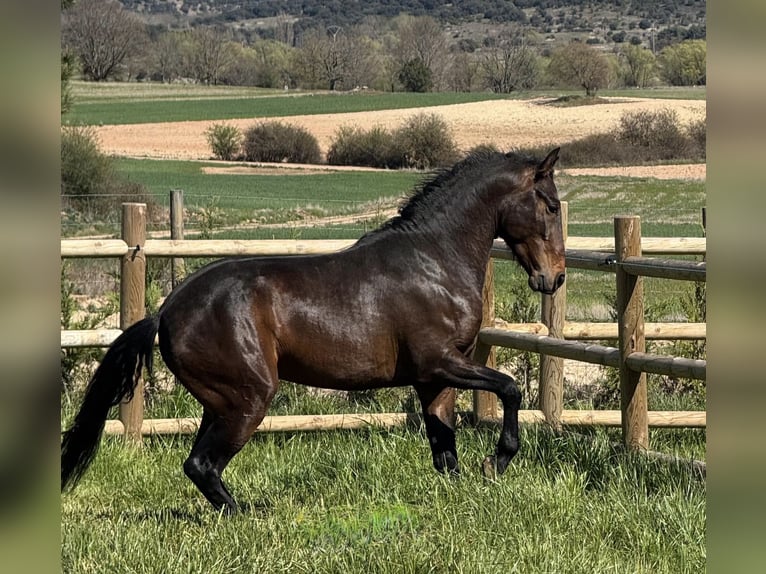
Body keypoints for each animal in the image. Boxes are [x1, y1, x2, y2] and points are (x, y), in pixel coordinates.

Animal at [61, 147, 566, 514]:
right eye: (551, 205)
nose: (555, 278)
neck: (435, 260)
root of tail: (164, 313)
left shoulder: (434, 379)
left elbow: (444, 448)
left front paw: (460, 491)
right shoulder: (441, 362)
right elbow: (510, 388)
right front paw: (497, 461)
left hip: (220, 402)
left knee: (201, 464)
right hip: (249, 398)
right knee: (202, 464)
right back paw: (248, 517)